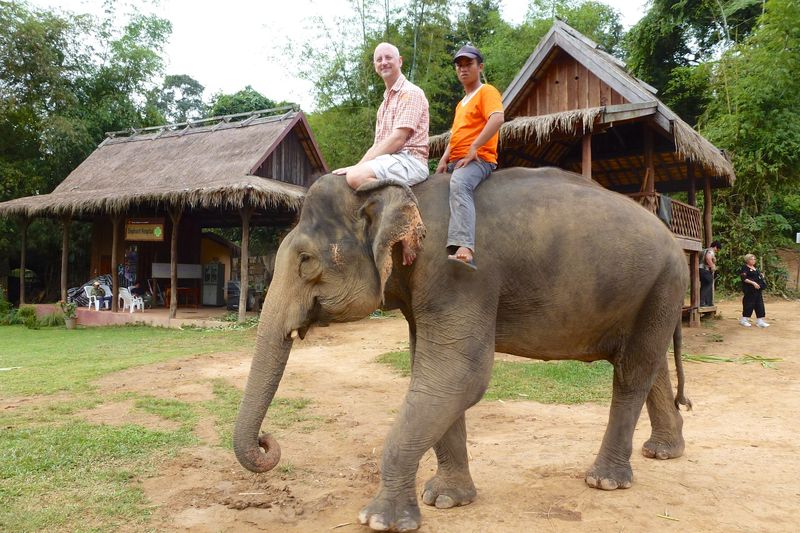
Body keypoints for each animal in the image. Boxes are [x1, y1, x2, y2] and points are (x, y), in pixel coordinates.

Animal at [233, 167, 691, 532]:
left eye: (306, 261)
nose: (267, 442)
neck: (404, 195)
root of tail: (677, 241)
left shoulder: (457, 272)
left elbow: (459, 374)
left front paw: (381, 520)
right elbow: (433, 376)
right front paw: (445, 499)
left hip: (665, 282)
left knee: (632, 373)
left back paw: (605, 480)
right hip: (652, 293)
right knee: (647, 366)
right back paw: (664, 452)